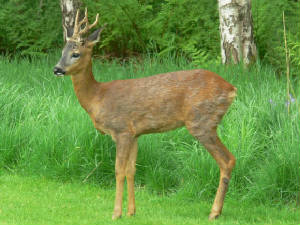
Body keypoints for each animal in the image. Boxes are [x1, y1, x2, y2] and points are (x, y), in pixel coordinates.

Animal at [53, 8, 237, 220]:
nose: (57, 69)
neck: (97, 97)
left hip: (202, 122)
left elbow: (119, 170)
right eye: (62, 51)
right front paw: (131, 211)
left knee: (227, 160)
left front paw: (116, 213)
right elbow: (131, 170)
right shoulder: (135, 134)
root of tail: (232, 89)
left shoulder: (122, 130)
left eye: (76, 53)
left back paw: (214, 212)